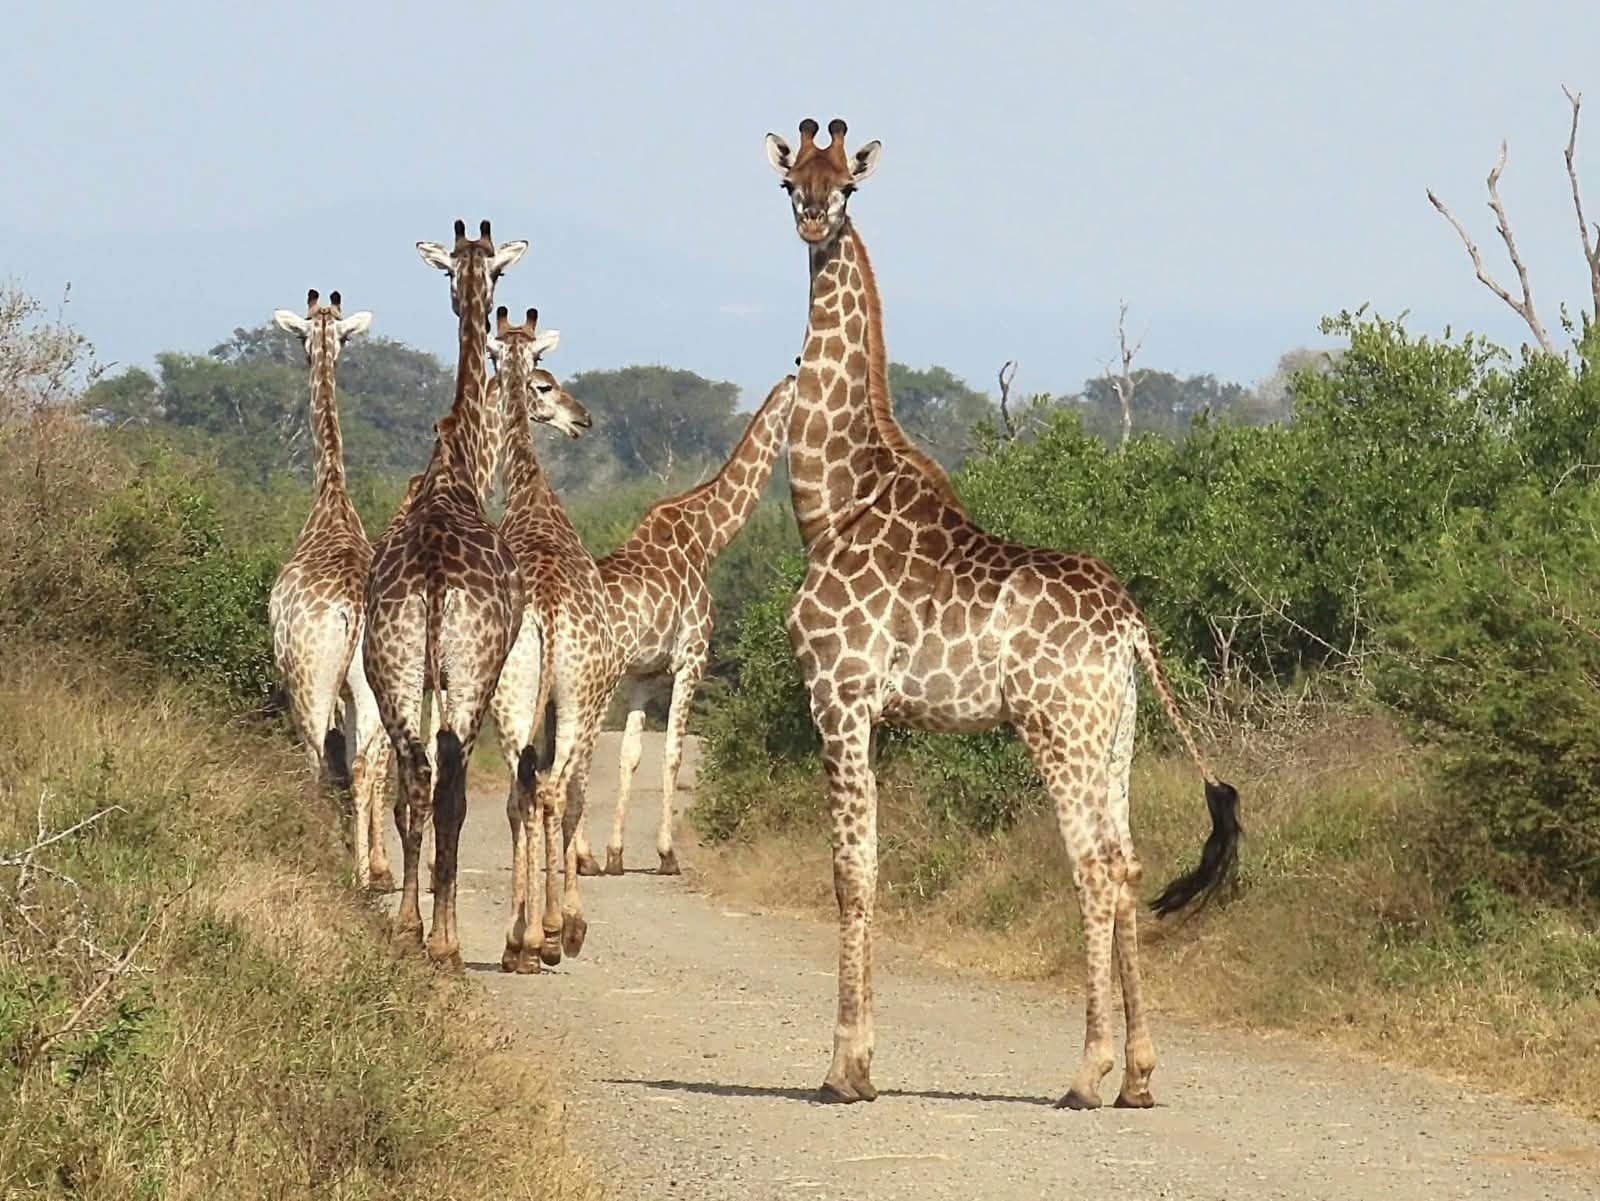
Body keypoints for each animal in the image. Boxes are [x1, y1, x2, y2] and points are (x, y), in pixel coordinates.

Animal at [575, 373, 798, 877]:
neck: (707, 538)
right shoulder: (692, 658)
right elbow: (673, 753)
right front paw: (667, 854)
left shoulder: (643, 674)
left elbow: (631, 755)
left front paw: (617, 854)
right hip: (596, 676)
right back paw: (580, 856)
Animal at [764, 119, 1241, 1107]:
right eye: (791, 180)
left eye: (848, 185)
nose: (815, 216)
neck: (830, 500)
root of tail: (1131, 627)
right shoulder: (870, 713)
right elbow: (869, 866)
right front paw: (862, 1061)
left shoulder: (839, 698)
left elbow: (851, 871)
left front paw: (844, 1069)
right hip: (1113, 731)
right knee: (1127, 859)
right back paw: (1139, 1074)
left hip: (1056, 726)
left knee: (1093, 865)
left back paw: (1087, 1071)